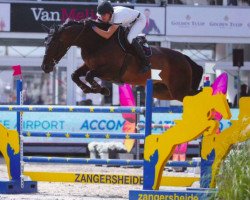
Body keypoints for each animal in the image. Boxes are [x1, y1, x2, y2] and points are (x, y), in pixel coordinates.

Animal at [40, 18, 202, 101]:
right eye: (45, 43)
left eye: (55, 44)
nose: (45, 67)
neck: (97, 42)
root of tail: (184, 58)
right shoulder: (89, 65)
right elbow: (75, 75)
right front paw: (89, 89)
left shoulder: (110, 71)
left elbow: (89, 75)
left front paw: (101, 89)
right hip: (163, 92)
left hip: (179, 90)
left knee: (195, 95)